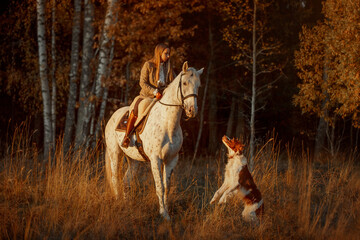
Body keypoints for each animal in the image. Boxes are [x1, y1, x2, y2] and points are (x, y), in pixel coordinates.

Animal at [105, 61, 204, 219]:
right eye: (184, 83)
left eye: (198, 85)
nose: (191, 111)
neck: (167, 123)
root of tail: (113, 116)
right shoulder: (155, 159)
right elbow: (159, 187)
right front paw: (163, 213)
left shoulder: (171, 160)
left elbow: (166, 187)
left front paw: (167, 213)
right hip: (115, 154)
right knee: (115, 178)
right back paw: (118, 202)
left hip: (133, 160)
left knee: (126, 181)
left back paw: (126, 205)